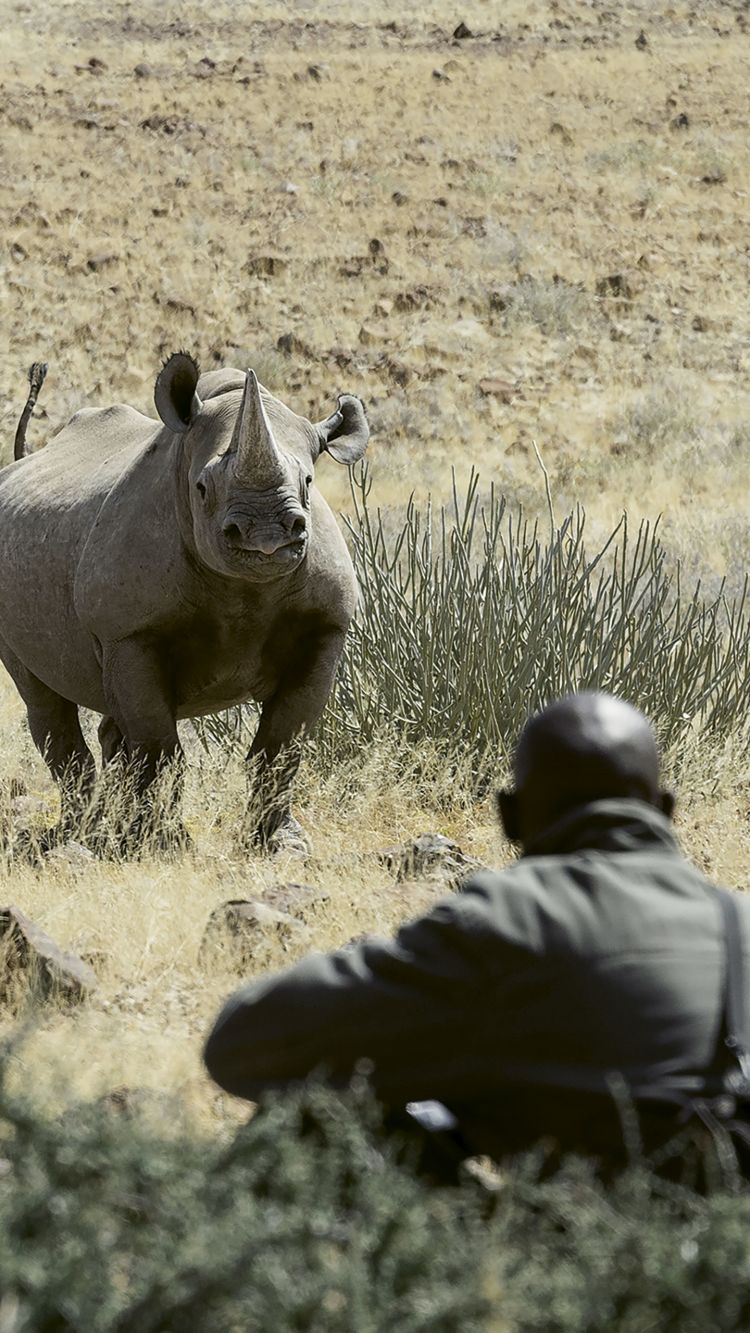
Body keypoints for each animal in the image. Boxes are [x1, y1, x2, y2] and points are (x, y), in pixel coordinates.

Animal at [1, 352, 369, 851]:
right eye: (202, 488)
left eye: (309, 482)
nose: (266, 536)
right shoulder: (130, 633)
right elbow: (159, 747)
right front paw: (163, 845)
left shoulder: (324, 627)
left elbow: (282, 745)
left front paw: (280, 845)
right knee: (45, 701)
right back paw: (81, 836)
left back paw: (107, 831)